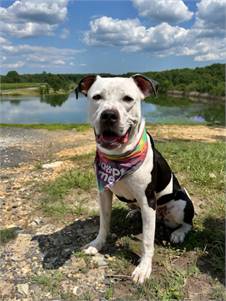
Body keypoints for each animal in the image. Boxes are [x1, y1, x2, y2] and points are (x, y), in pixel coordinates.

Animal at [74, 74, 194, 282]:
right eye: (96, 97)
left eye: (128, 99)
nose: (109, 115)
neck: (119, 157)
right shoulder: (103, 193)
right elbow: (104, 222)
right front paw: (97, 244)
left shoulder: (148, 200)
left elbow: (147, 240)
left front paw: (144, 268)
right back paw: (134, 214)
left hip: (180, 204)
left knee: (187, 223)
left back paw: (178, 233)